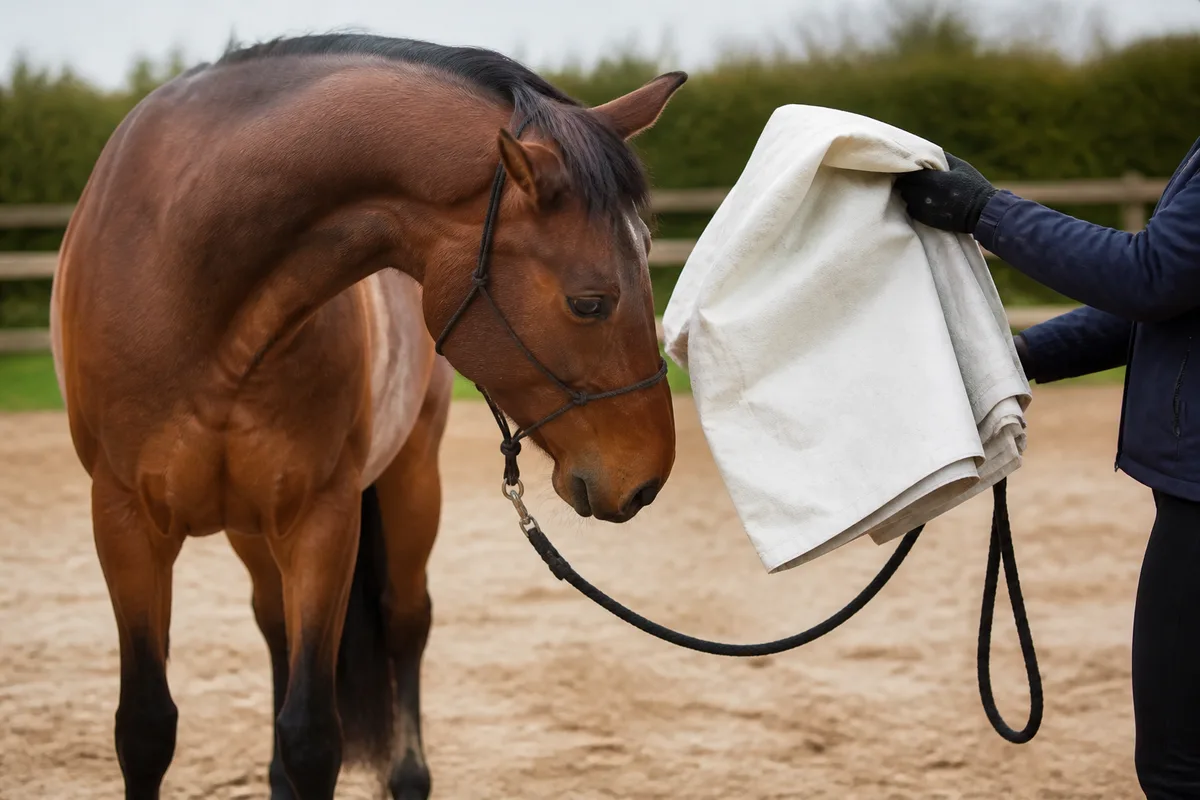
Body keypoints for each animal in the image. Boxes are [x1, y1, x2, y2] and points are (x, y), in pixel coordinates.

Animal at [49, 33, 685, 799]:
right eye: (589, 302)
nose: (646, 479)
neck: (188, 274)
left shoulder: (322, 519)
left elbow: (312, 735)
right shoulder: (124, 522)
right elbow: (145, 728)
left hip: (409, 483)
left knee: (404, 621)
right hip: (250, 528)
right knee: (276, 630)